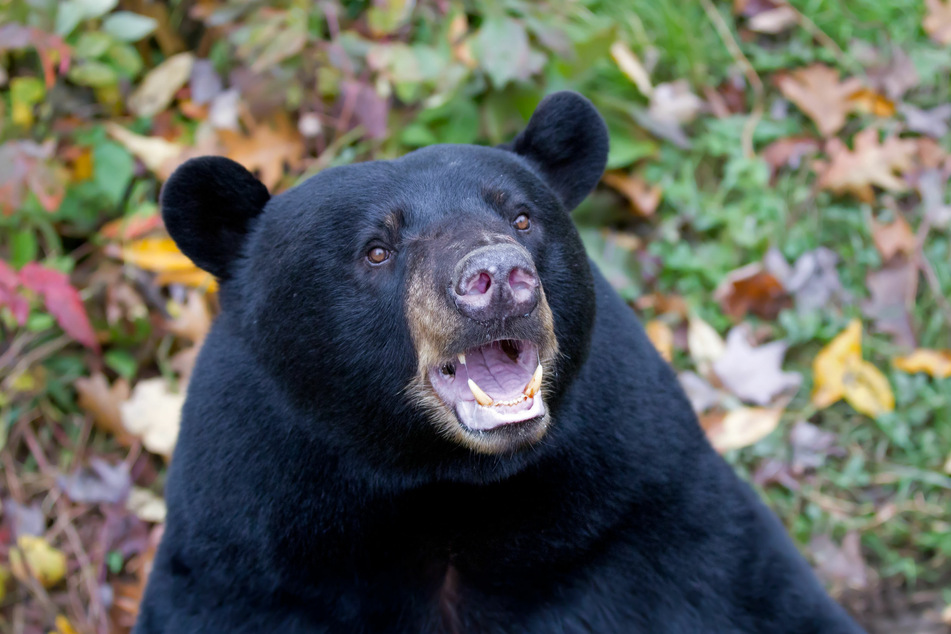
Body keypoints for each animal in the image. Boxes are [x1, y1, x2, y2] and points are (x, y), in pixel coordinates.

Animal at [138, 90, 868, 632]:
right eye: (376, 249)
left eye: (520, 218)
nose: (496, 279)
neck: (445, 482)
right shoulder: (251, 562)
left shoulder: (645, 513)